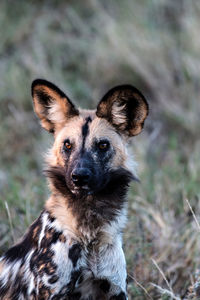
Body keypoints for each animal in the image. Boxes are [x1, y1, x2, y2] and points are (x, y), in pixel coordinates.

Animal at [0, 78, 147, 298]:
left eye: (102, 145)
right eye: (67, 145)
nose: (79, 177)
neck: (90, 234)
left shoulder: (115, 289)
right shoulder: (51, 292)